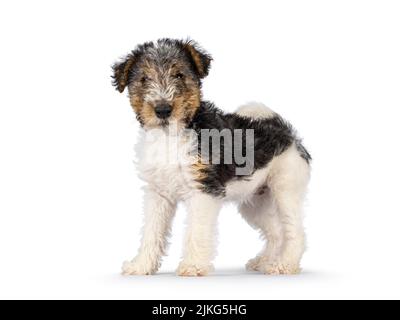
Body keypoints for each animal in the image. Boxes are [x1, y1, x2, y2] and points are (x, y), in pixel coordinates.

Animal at [111, 39, 310, 276]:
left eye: (179, 74)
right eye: (143, 79)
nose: (163, 110)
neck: (172, 136)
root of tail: (284, 129)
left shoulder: (202, 190)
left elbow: (196, 231)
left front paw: (193, 265)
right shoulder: (158, 194)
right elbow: (151, 232)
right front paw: (141, 266)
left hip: (285, 189)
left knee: (294, 232)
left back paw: (284, 264)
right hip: (256, 201)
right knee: (276, 232)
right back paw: (264, 261)